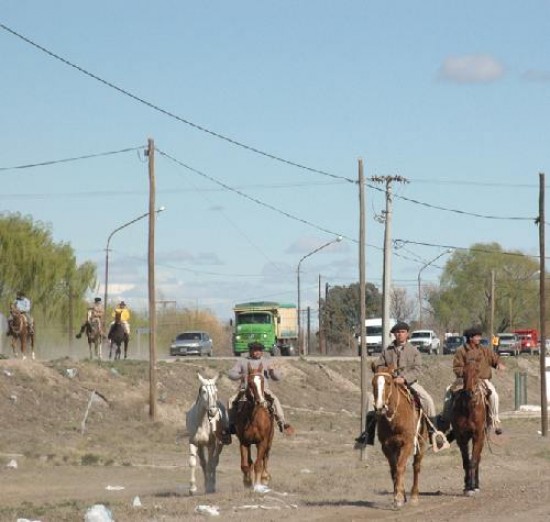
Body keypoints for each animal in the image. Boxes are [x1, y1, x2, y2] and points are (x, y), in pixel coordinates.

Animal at [235, 362, 276, 492]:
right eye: (250, 382)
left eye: (262, 381)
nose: (260, 402)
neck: (253, 418)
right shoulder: (244, 442)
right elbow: (245, 465)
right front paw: (247, 482)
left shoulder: (262, 442)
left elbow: (258, 464)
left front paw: (257, 485)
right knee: (250, 462)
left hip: (269, 441)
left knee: (265, 458)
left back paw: (264, 478)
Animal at [374, 364, 430, 506]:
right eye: (373, 383)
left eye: (388, 383)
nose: (379, 407)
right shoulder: (386, 446)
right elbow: (394, 470)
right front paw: (398, 495)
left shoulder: (408, 444)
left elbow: (400, 467)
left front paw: (399, 498)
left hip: (420, 444)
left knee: (416, 467)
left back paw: (414, 496)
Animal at [452, 356, 488, 494]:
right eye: (463, 372)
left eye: (477, 371)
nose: (469, 393)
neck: (469, 409)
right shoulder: (461, 437)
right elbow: (466, 461)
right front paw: (467, 485)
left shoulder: (478, 435)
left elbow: (473, 461)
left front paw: (472, 486)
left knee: (477, 458)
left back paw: (476, 484)